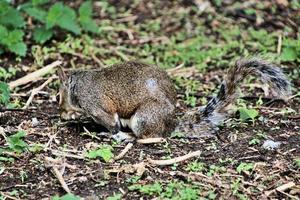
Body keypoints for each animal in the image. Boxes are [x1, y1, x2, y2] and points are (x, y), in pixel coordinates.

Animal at [56, 57, 290, 140]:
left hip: (144, 117)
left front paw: (107, 133)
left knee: (151, 137)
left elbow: (111, 123)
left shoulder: (97, 106)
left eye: (58, 96)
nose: (61, 113)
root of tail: (170, 124)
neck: (78, 85)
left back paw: (128, 137)